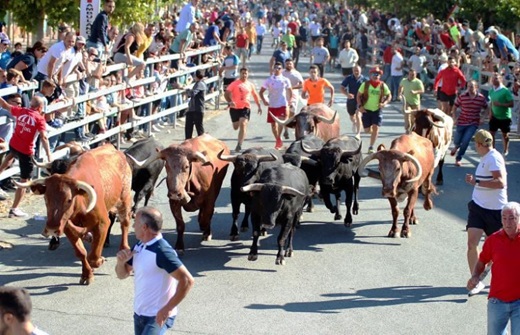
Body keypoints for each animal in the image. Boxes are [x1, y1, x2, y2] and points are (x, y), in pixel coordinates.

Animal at [17, 145, 133, 286]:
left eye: (69, 200)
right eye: (46, 199)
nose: (51, 229)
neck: (81, 203)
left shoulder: (102, 223)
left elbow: (93, 256)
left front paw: (98, 261)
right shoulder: (66, 227)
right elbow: (81, 253)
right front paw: (87, 274)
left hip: (124, 198)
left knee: (125, 223)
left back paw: (124, 247)